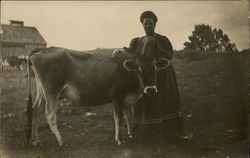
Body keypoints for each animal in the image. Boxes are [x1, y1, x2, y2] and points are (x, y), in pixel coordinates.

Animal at [26, 46, 171, 147]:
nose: (151, 89)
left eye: (156, 68)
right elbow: (119, 118)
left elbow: (129, 116)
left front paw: (131, 135)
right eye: (139, 68)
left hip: (42, 93)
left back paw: (35, 140)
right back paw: (60, 140)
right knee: (49, 114)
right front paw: (119, 140)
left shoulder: (127, 99)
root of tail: (45, 49)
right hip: (51, 92)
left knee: (36, 110)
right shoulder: (117, 96)